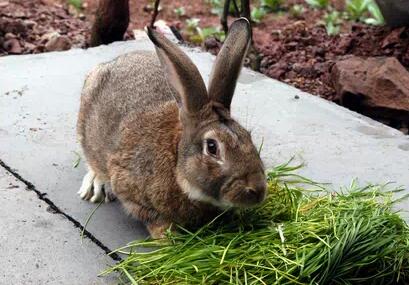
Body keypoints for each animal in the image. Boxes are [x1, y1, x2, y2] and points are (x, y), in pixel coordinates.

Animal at [76, 18, 266, 237]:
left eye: (248, 137)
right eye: (212, 147)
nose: (258, 190)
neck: (176, 161)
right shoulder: (130, 191)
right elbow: (154, 219)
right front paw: (166, 238)